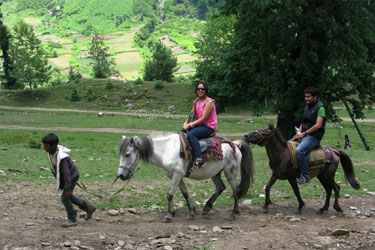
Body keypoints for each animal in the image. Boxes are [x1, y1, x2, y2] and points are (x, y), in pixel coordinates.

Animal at [117, 134, 256, 222]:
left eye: (127, 154)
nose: (121, 176)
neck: (166, 150)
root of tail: (236, 145)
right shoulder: (176, 176)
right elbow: (185, 193)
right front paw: (191, 213)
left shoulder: (177, 174)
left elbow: (170, 194)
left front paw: (168, 215)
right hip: (215, 173)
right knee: (221, 187)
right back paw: (206, 209)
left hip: (231, 173)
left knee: (236, 191)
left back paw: (233, 213)